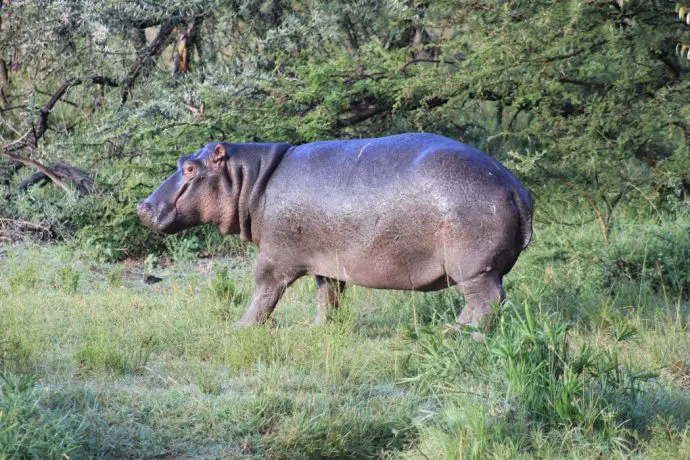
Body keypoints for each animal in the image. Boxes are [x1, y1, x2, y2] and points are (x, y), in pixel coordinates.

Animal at [137, 133, 528, 330]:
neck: (250, 179)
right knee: (488, 302)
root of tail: (514, 186)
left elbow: (263, 291)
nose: (143, 205)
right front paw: (319, 329)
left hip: (475, 268)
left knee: (486, 301)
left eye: (190, 169)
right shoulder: (327, 260)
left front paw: (240, 328)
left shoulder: (275, 257)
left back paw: (457, 334)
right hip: (481, 268)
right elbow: (329, 296)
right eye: (181, 162)